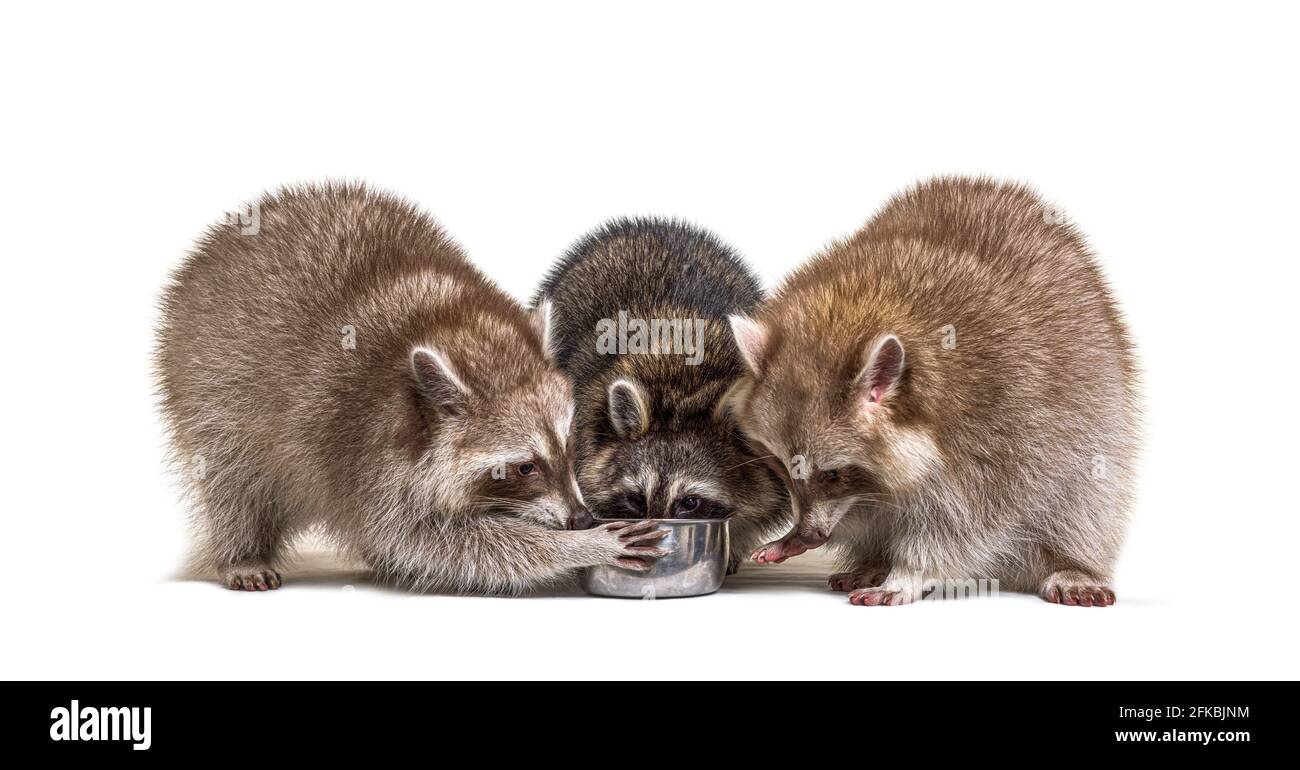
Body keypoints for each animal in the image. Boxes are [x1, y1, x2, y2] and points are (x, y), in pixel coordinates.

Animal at [158, 183, 670, 593]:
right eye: (524, 467)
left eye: (568, 445)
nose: (581, 519)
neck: (448, 321)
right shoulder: (363, 450)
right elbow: (426, 539)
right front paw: (576, 546)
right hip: (207, 384)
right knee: (232, 478)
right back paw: (242, 551)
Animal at [733, 176, 1138, 603]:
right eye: (780, 466)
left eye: (833, 473)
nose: (810, 534)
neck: (860, 308)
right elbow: (868, 507)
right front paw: (808, 537)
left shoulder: (1001, 430)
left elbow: (968, 523)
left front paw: (908, 571)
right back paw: (874, 560)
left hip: (1096, 420)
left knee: (1083, 499)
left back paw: (1070, 562)